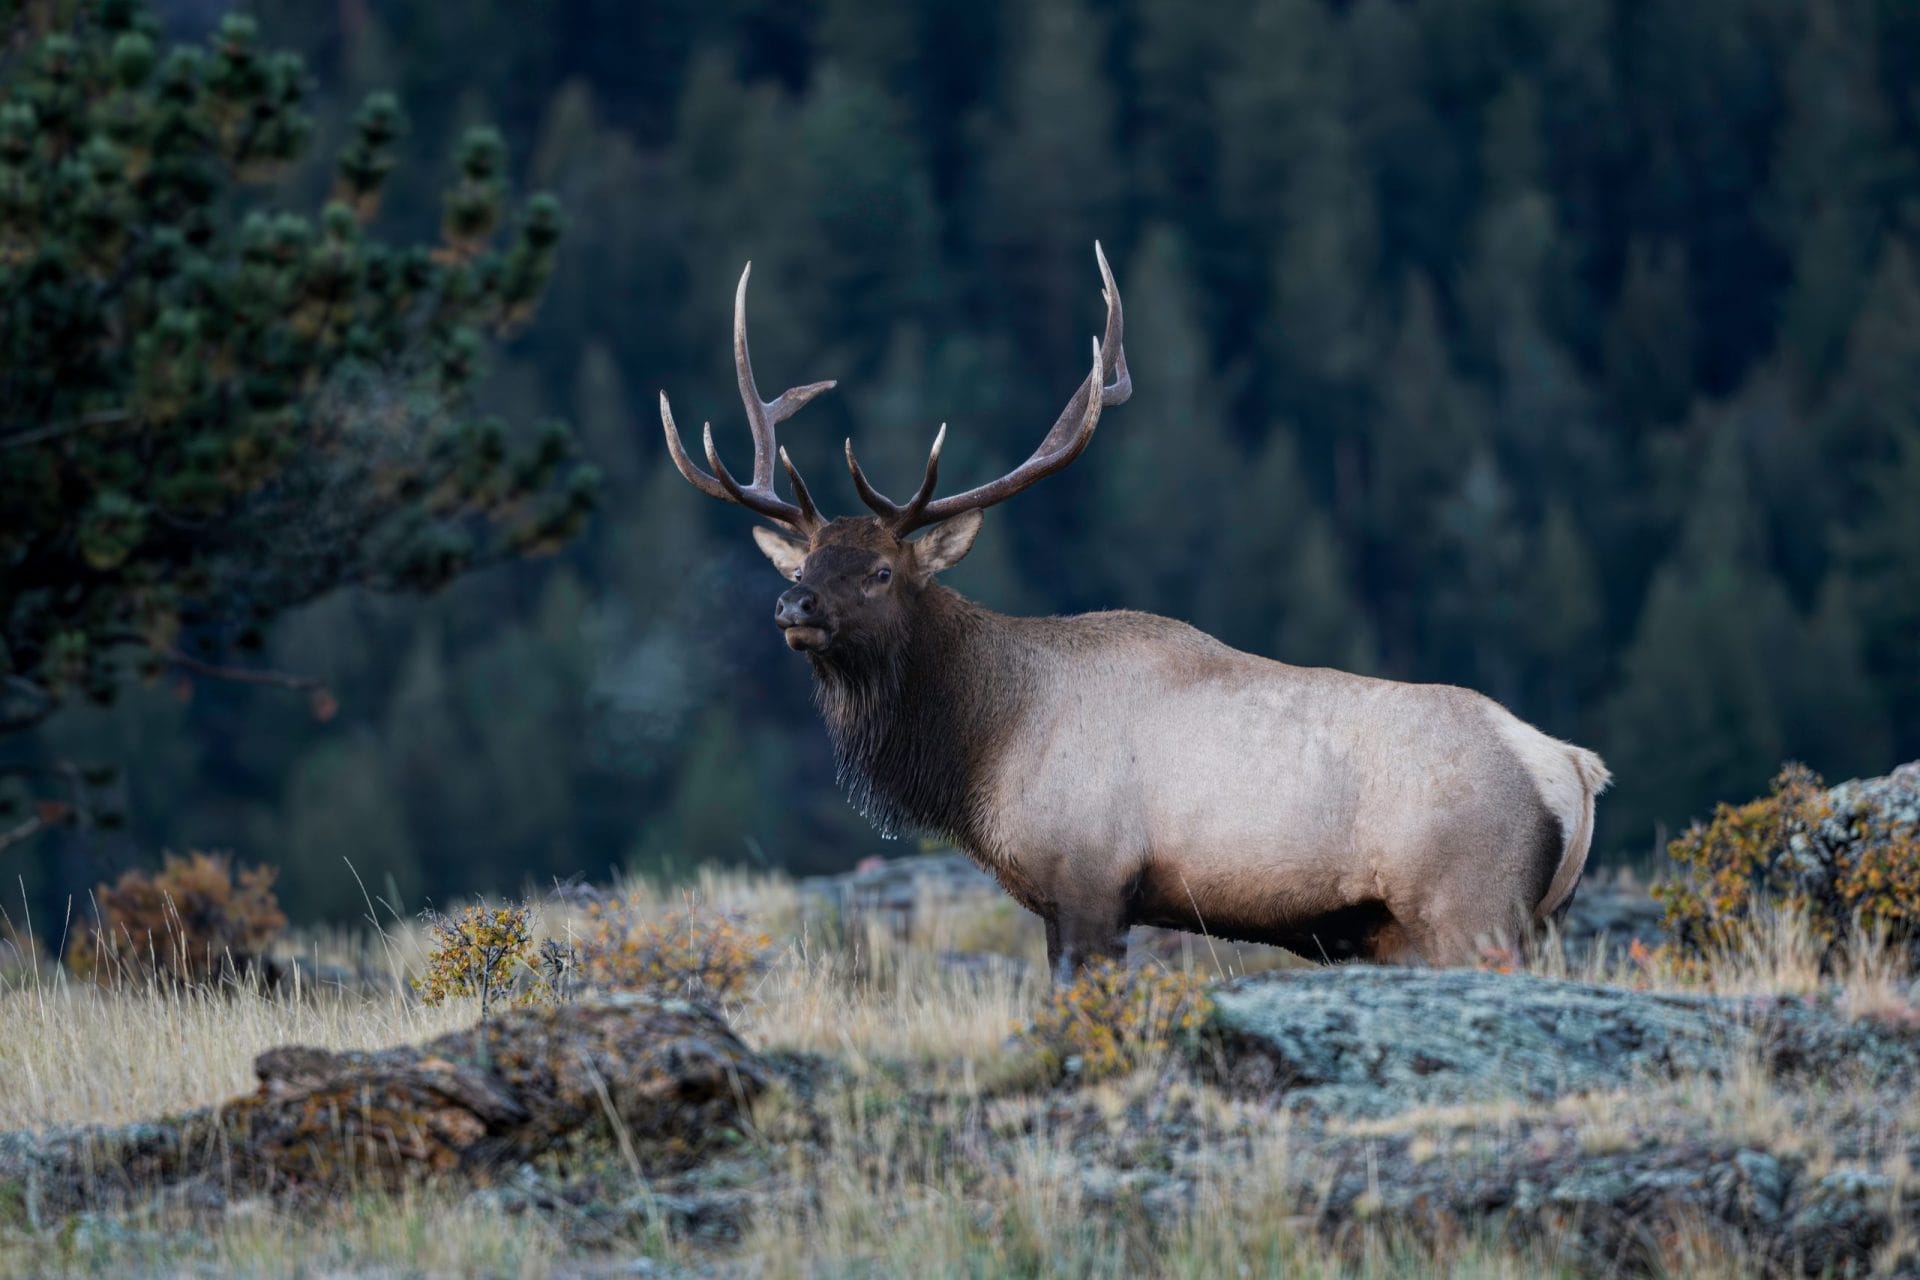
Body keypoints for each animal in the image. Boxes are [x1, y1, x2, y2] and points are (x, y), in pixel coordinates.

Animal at [660, 244, 1612, 980]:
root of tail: (1572, 769)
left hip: (1470, 908)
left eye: (883, 571)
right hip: (1513, 921)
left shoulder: (1090, 879)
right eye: (810, 559)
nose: (793, 603)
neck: (984, 746)